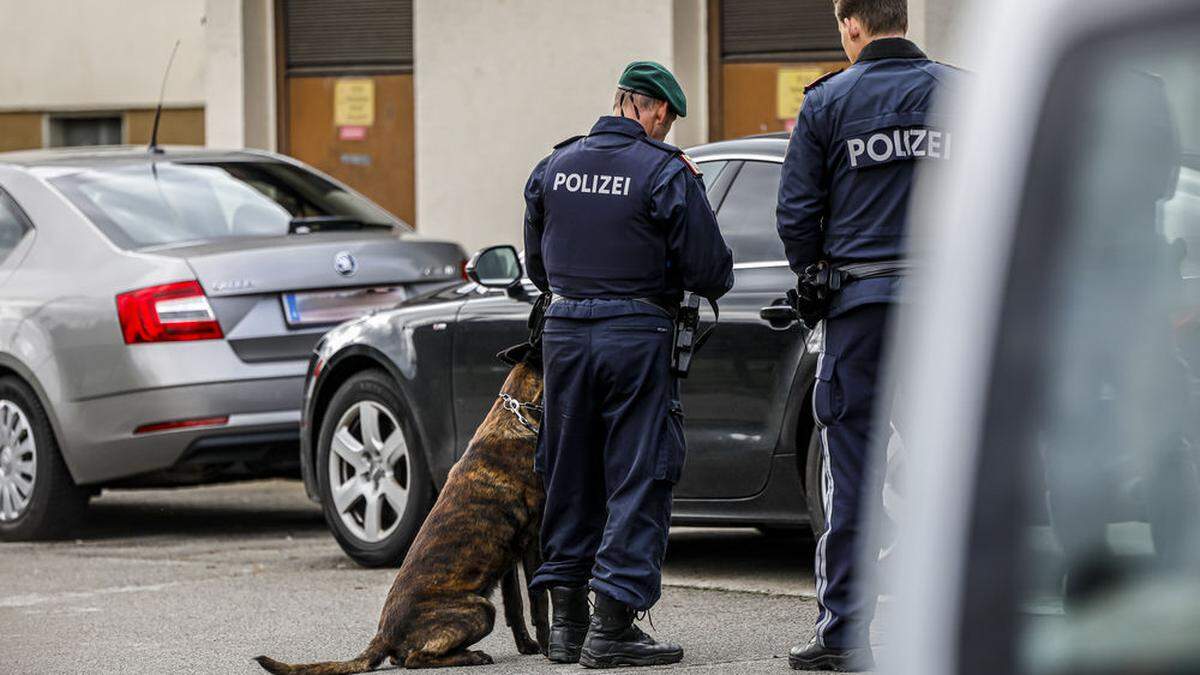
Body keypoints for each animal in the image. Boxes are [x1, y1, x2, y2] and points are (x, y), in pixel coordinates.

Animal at [260, 355, 549, 667]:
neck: (515, 415)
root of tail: (384, 634)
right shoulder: (533, 541)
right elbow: (539, 599)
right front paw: (548, 646)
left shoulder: (510, 558)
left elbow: (515, 607)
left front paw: (528, 645)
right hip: (480, 610)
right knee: (416, 658)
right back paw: (472, 656)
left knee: (405, 657)